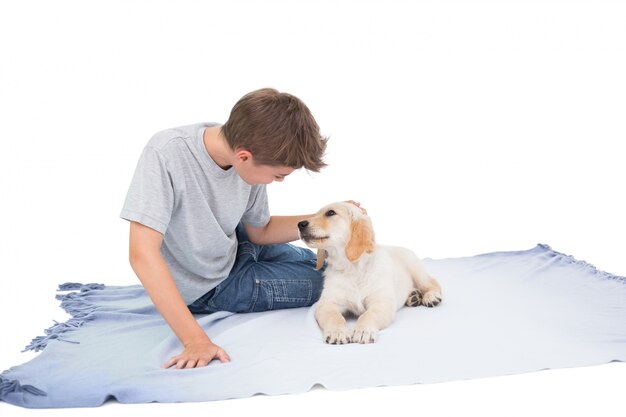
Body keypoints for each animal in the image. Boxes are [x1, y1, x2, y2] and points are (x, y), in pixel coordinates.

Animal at [296, 202, 438, 344]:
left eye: (330, 213)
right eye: (316, 214)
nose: (300, 224)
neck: (351, 268)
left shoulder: (381, 303)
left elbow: (368, 315)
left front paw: (363, 330)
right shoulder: (327, 304)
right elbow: (334, 317)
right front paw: (337, 332)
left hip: (417, 270)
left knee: (432, 283)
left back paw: (431, 297)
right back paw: (413, 297)